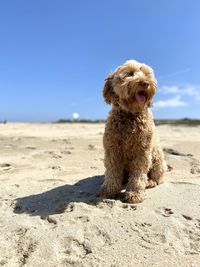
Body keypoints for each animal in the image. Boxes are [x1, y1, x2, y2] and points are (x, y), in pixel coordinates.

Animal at [99, 60, 166, 203]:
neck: (130, 114)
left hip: (158, 157)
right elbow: (112, 171)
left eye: (146, 74)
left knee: (158, 177)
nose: (145, 83)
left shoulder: (142, 151)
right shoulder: (112, 150)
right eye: (130, 73)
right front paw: (109, 190)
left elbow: (138, 174)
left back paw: (150, 182)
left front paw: (134, 193)